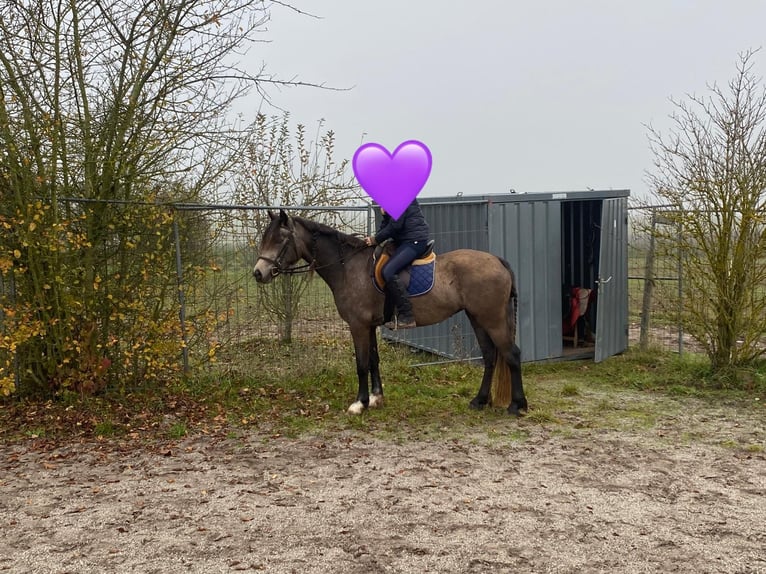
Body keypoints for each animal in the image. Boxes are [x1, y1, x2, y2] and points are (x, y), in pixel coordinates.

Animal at [253, 209, 527, 416]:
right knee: (491, 356)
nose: (258, 273)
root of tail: (497, 260)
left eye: (281, 240)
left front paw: (359, 403)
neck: (348, 267)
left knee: (511, 354)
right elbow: (374, 361)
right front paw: (376, 399)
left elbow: (361, 363)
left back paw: (517, 405)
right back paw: (479, 401)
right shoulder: (370, 325)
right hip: (477, 317)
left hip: (491, 318)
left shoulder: (358, 325)